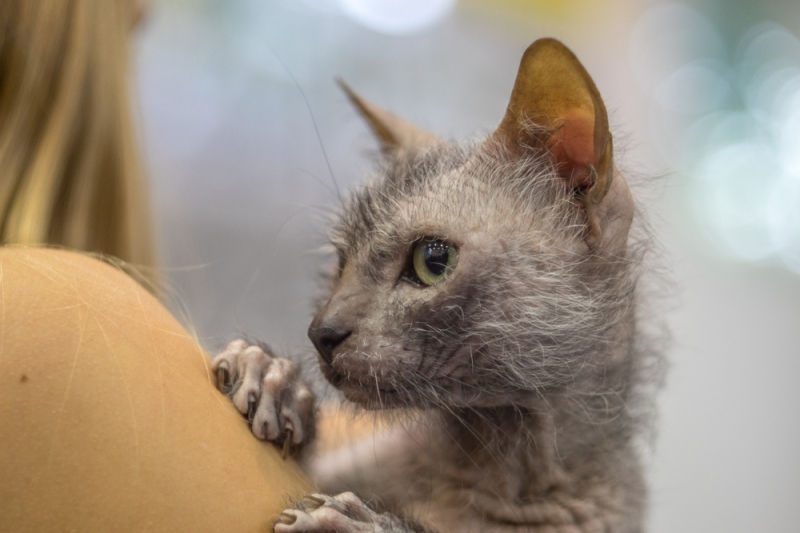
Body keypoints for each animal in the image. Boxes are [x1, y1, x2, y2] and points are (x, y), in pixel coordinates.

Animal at [212, 38, 664, 532]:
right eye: (341, 261)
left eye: (432, 260)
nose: (321, 334)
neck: (501, 468)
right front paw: (272, 377)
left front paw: (357, 522)